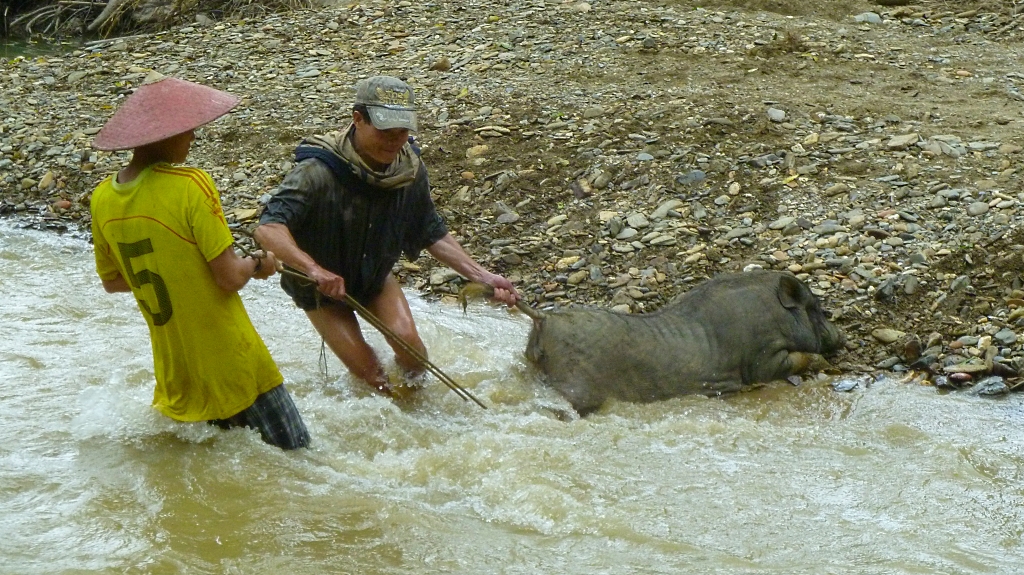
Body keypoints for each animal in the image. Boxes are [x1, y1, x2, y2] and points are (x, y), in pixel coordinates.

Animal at [499, 268, 843, 411]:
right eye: (816, 308)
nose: (842, 337)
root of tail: (545, 319)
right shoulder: (762, 359)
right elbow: (795, 360)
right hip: (577, 384)